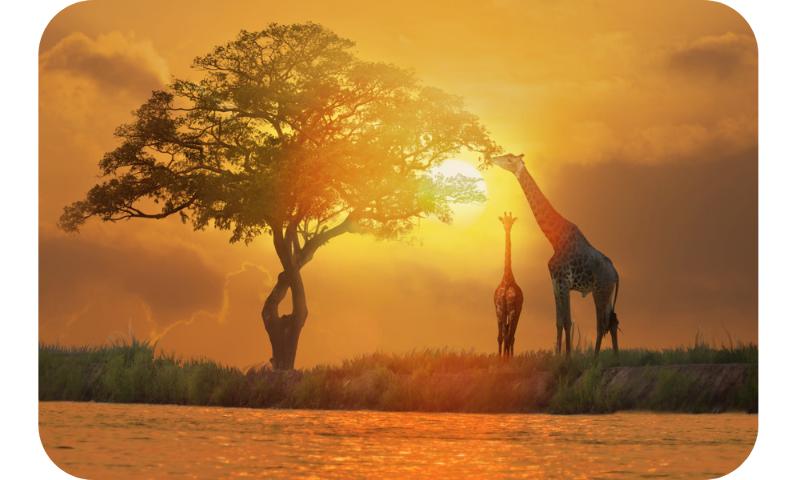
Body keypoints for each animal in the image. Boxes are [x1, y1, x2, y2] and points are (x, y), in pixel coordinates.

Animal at [490, 153, 620, 357]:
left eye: (510, 159)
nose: (494, 159)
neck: (554, 238)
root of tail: (616, 274)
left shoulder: (563, 281)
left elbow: (567, 321)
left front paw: (567, 357)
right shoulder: (554, 283)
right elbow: (559, 321)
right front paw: (558, 355)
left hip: (601, 290)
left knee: (602, 324)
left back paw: (595, 357)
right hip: (605, 293)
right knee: (612, 322)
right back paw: (615, 357)